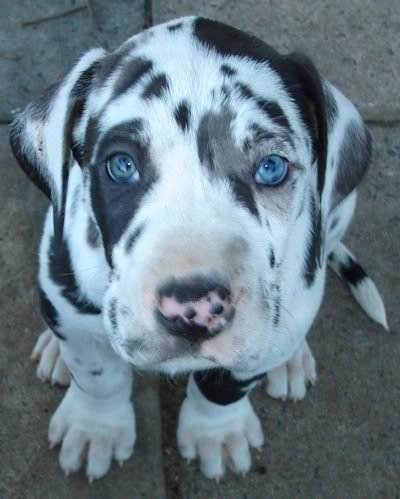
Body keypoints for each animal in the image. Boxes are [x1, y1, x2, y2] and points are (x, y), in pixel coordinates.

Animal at [10, 16, 388, 484]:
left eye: (271, 167)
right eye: (121, 165)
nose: (194, 308)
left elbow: (224, 387)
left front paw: (217, 433)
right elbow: (99, 377)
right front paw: (95, 427)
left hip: (340, 211)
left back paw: (291, 357)